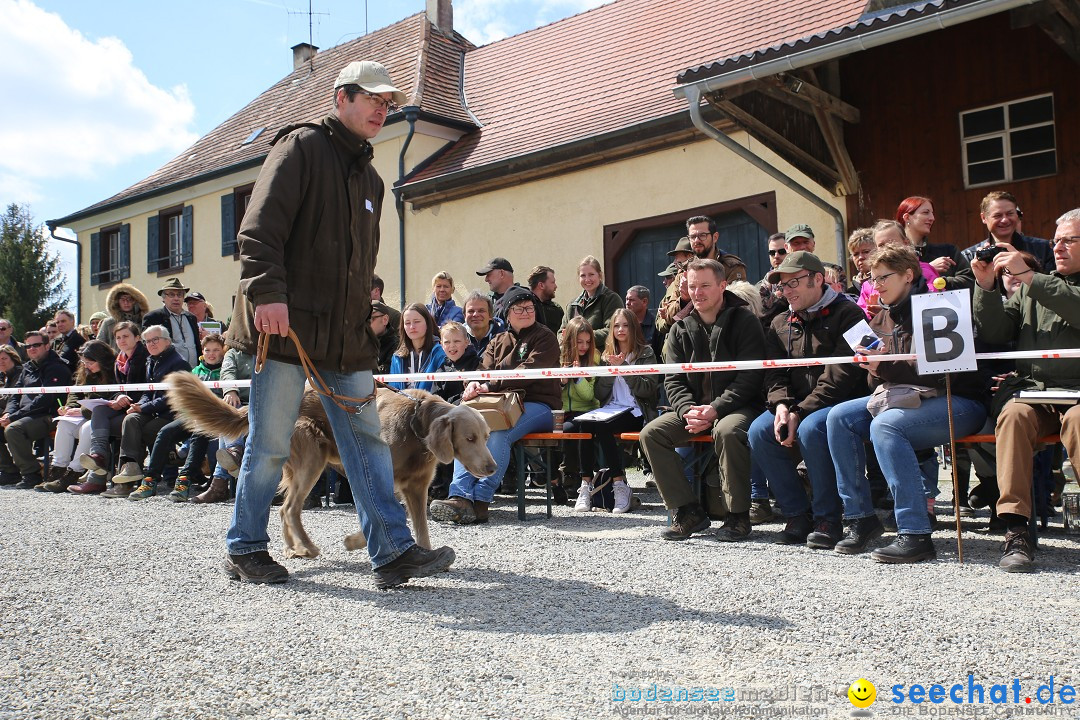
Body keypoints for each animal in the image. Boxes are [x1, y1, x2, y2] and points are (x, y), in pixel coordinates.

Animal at [166, 375, 494, 561]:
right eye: (469, 438)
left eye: (487, 436)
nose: (492, 468)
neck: (416, 424)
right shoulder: (380, 478)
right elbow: (390, 515)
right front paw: (353, 542)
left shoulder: (416, 488)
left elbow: (420, 526)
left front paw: (428, 554)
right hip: (312, 458)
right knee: (289, 508)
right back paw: (307, 547)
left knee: (285, 509)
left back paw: (295, 549)